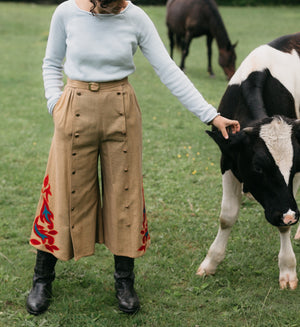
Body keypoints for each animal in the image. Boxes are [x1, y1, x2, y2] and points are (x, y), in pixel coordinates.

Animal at [197, 32, 300, 290]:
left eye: (294, 165)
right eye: (258, 168)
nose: (291, 215)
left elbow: (283, 224)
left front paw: (287, 270)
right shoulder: (227, 159)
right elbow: (227, 216)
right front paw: (210, 262)